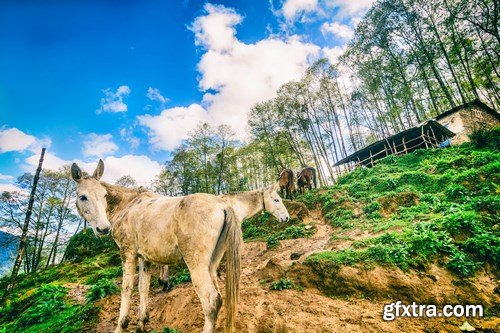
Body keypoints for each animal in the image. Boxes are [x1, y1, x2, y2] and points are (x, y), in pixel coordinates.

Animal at [70, 160, 290, 330]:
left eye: (104, 196)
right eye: (83, 197)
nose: (103, 228)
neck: (128, 205)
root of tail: (222, 205)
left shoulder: (128, 253)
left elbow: (126, 288)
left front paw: (121, 325)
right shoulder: (144, 258)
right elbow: (143, 288)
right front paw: (141, 323)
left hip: (197, 265)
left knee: (211, 301)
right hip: (211, 262)